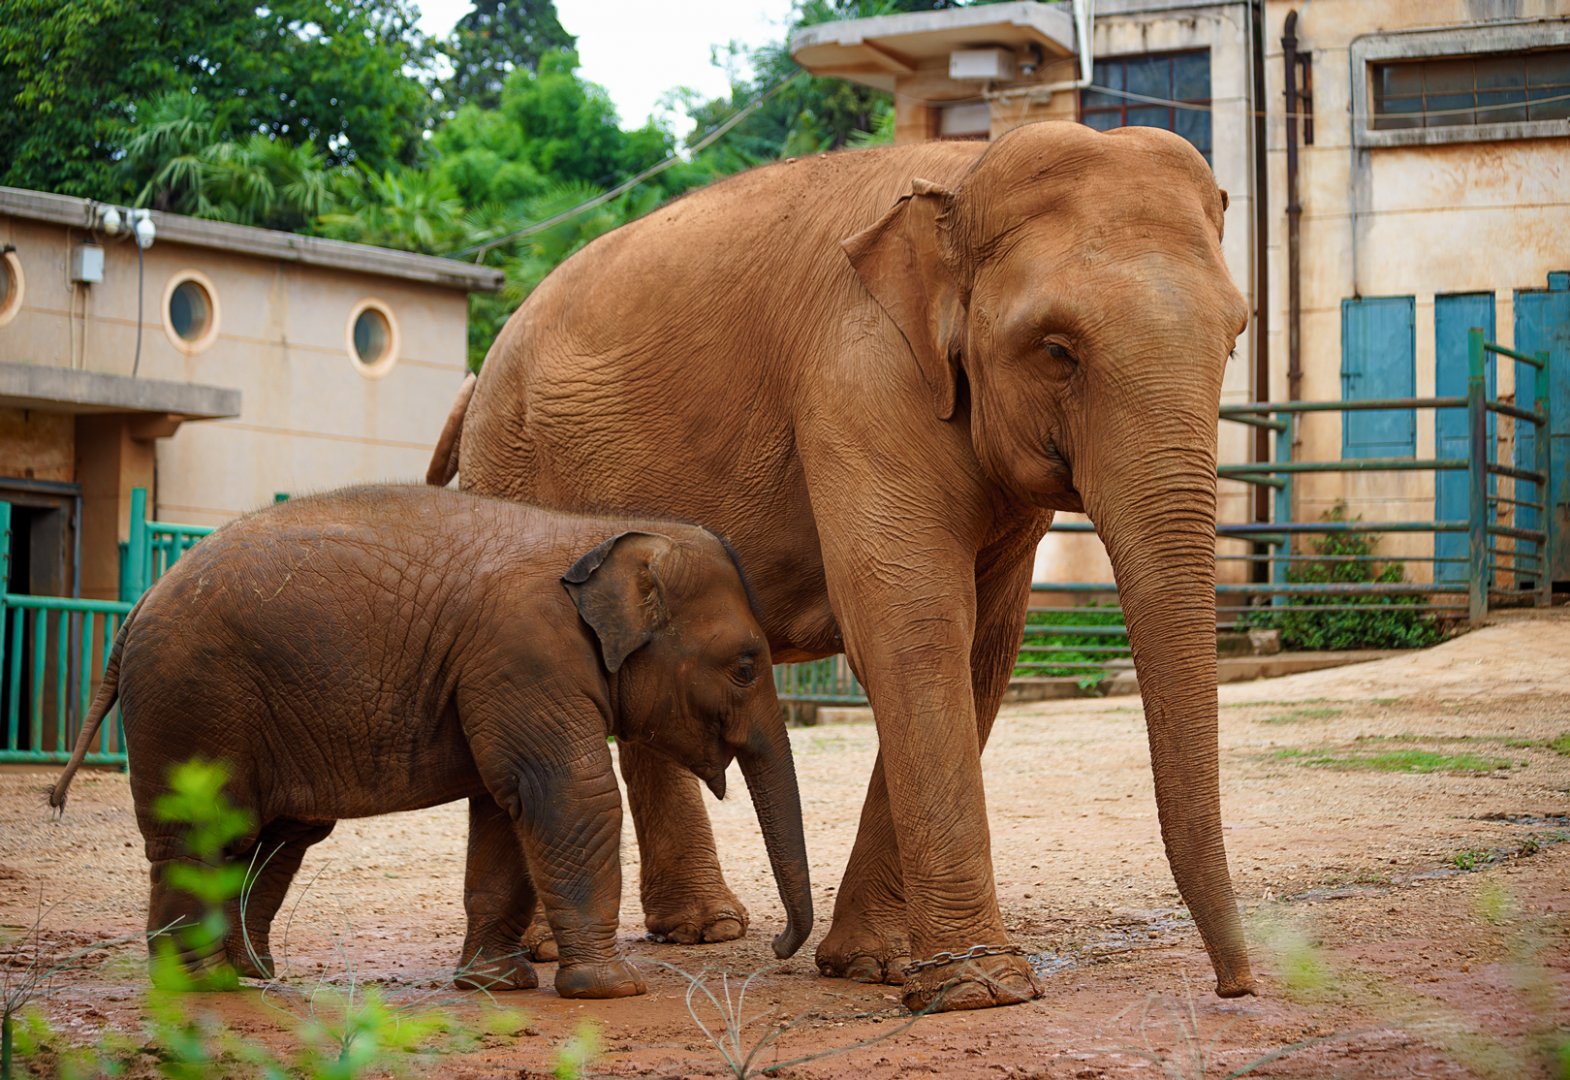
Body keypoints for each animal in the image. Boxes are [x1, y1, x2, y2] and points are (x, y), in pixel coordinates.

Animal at [49, 485, 812, 999]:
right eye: (746, 667)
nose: (777, 947)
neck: (600, 534)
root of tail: (132, 612)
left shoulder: (501, 678)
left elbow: (505, 810)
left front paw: (495, 986)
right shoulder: (524, 657)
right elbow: (568, 792)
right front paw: (614, 988)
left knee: (275, 835)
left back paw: (251, 974)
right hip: (193, 702)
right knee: (206, 834)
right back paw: (202, 989)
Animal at [428, 121, 1254, 1012]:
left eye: (1235, 338)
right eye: (1057, 349)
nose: (1237, 987)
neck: (964, 173)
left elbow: (980, 647)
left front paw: (876, 966)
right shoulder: (857, 379)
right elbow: (910, 627)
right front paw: (981, 990)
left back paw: (704, 929)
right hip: (514, 467)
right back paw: (559, 951)